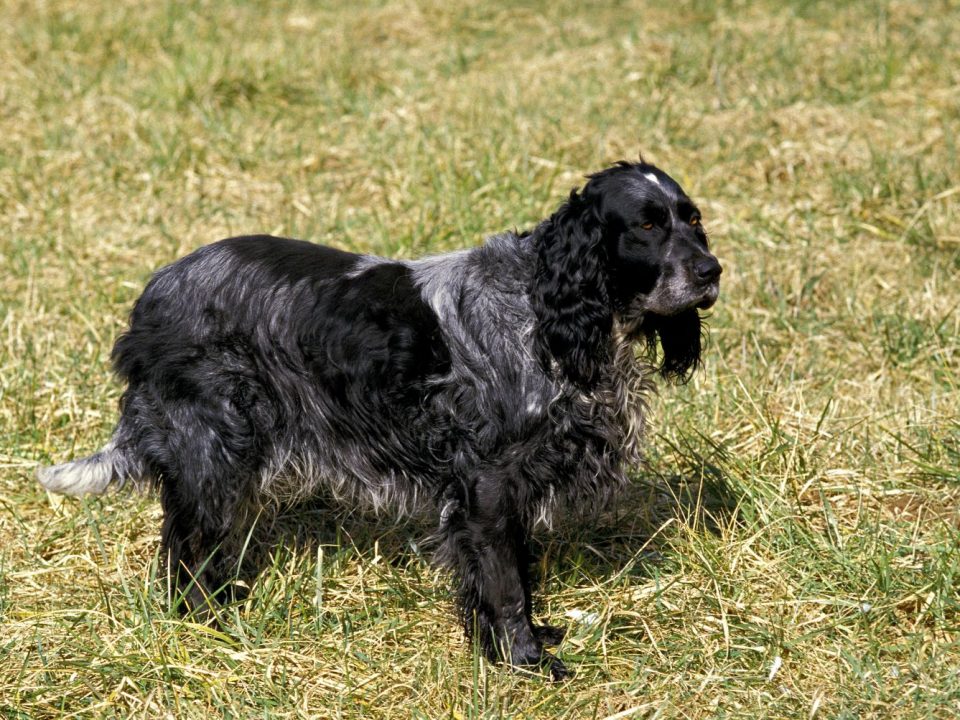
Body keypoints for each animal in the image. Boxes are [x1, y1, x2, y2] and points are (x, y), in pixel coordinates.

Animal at [41, 159, 724, 680]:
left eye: (692, 219)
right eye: (646, 225)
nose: (712, 271)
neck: (543, 312)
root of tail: (152, 296)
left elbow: (511, 574)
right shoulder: (487, 483)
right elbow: (504, 584)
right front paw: (524, 662)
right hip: (213, 446)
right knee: (184, 549)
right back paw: (208, 625)